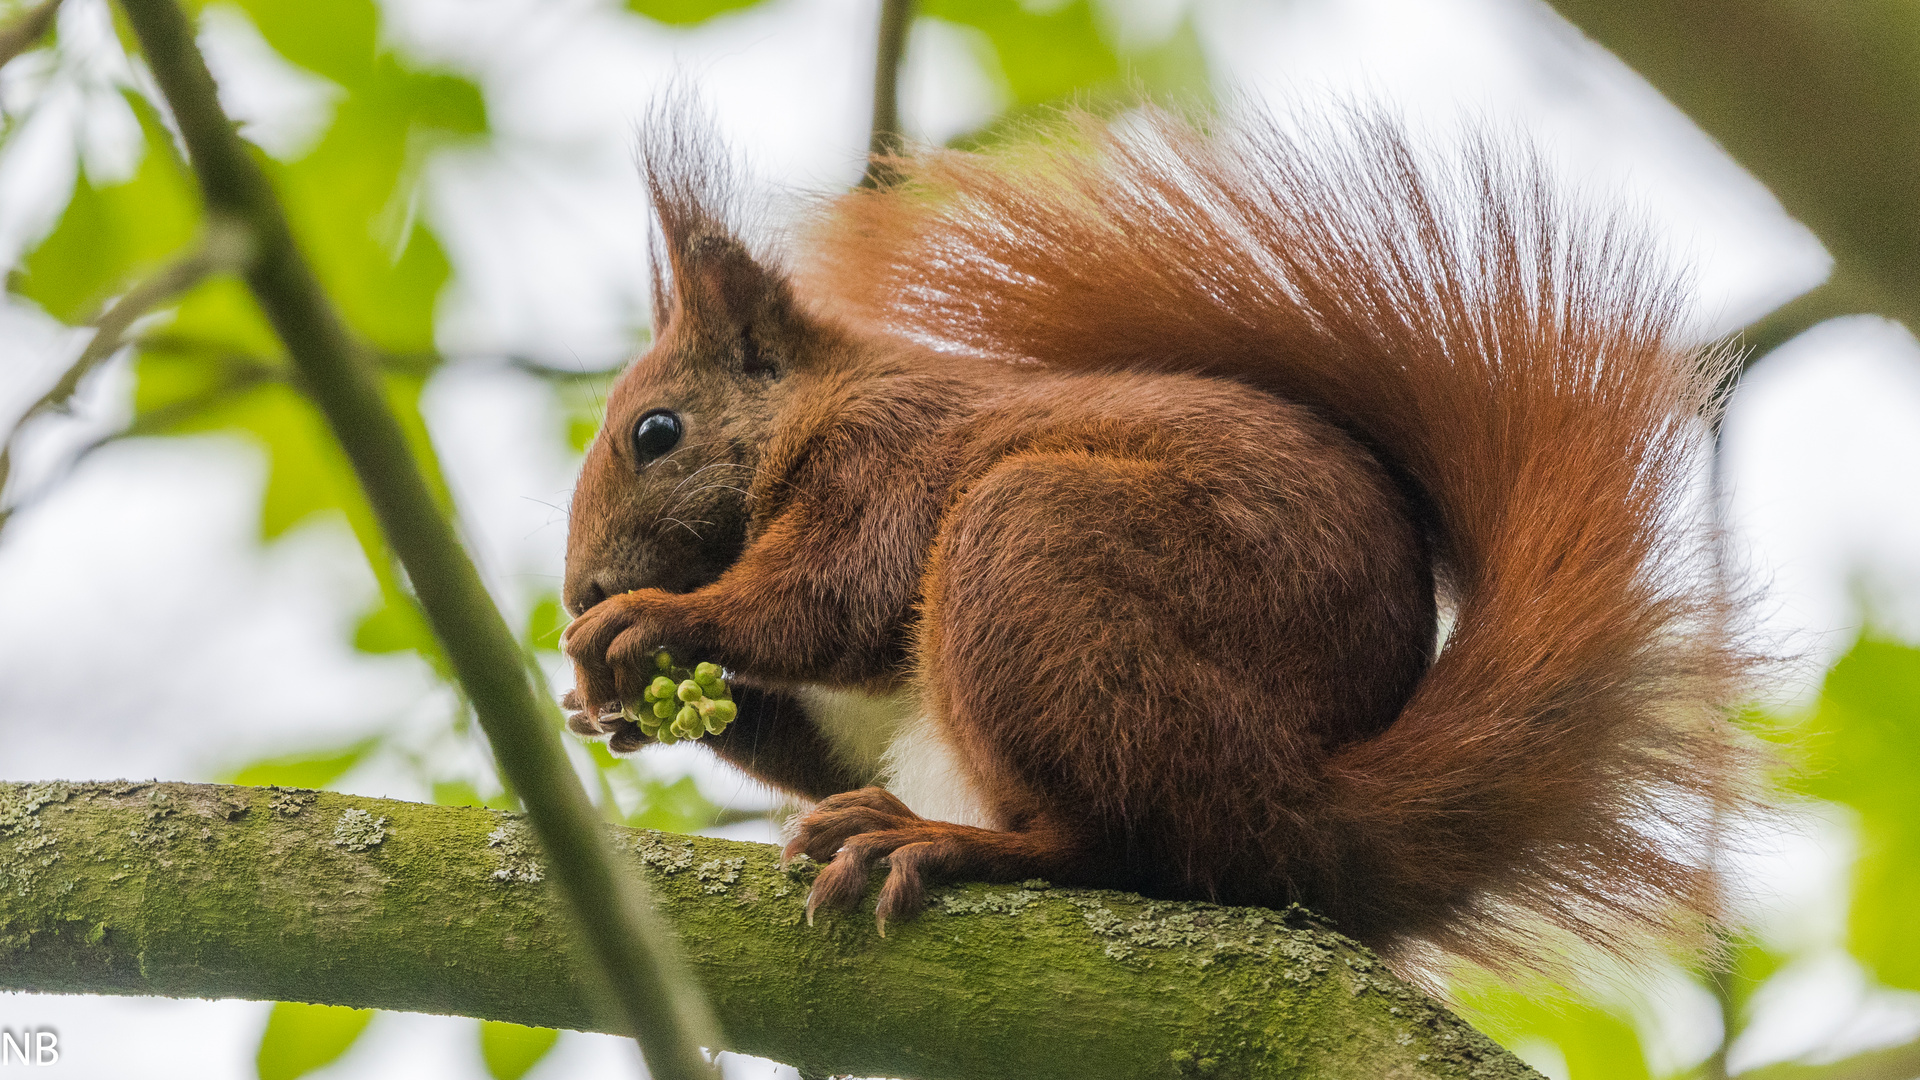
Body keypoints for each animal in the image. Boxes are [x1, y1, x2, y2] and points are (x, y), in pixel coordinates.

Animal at [556, 107, 1758, 968]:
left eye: (655, 432)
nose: (580, 592)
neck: (819, 406)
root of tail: (1309, 811)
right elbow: (822, 729)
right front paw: (604, 702)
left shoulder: (886, 459)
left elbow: (829, 599)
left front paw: (655, 621)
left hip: (1039, 555)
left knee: (1123, 849)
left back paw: (945, 844)